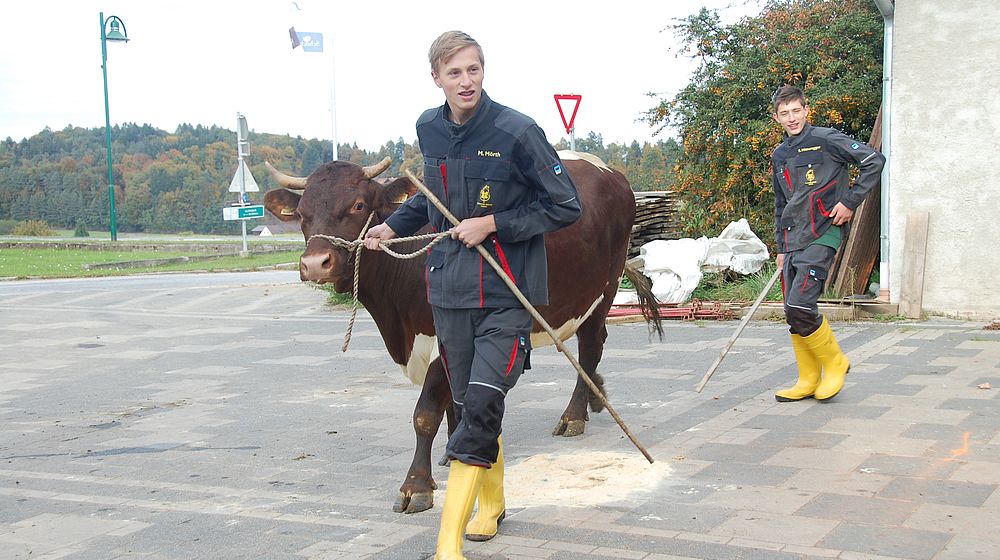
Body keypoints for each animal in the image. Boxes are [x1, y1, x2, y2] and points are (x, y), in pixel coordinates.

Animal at [262, 151, 660, 516]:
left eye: (358, 205)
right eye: (302, 213)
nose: (315, 264)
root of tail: (610, 172)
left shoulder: (441, 338)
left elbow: (425, 414)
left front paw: (416, 487)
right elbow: (456, 400)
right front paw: (454, 451)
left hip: (603, 289)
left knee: (591, 347)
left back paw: (574, 415)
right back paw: (596, 396)